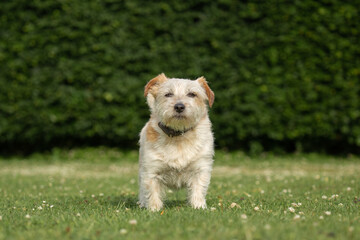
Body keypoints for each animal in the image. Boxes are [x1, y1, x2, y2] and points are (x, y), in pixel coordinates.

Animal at [138, 72, 214, 210]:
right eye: (168, 94)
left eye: (192, 94)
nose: (179, 106)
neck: (179, 136)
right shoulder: (151, 171)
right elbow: (152, 192)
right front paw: (154, 209)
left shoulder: (201, 169)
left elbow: (198, 190)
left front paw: (198, 207)